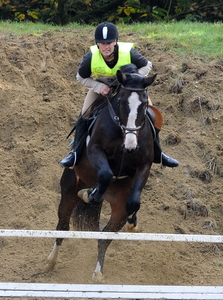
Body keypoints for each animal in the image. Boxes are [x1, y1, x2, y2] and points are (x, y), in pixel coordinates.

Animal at [48, 63, 158, 282]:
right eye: (122, 102)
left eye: (143, 105)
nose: (130, 146)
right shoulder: (95, 150)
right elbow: (106, 174)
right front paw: (90, 195)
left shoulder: (144, 165)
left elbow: (134, 201)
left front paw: (133, 223)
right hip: (70, 187)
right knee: (63, 224)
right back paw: (51, 261)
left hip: (117, 206)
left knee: (104, 237)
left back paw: (98, 271)